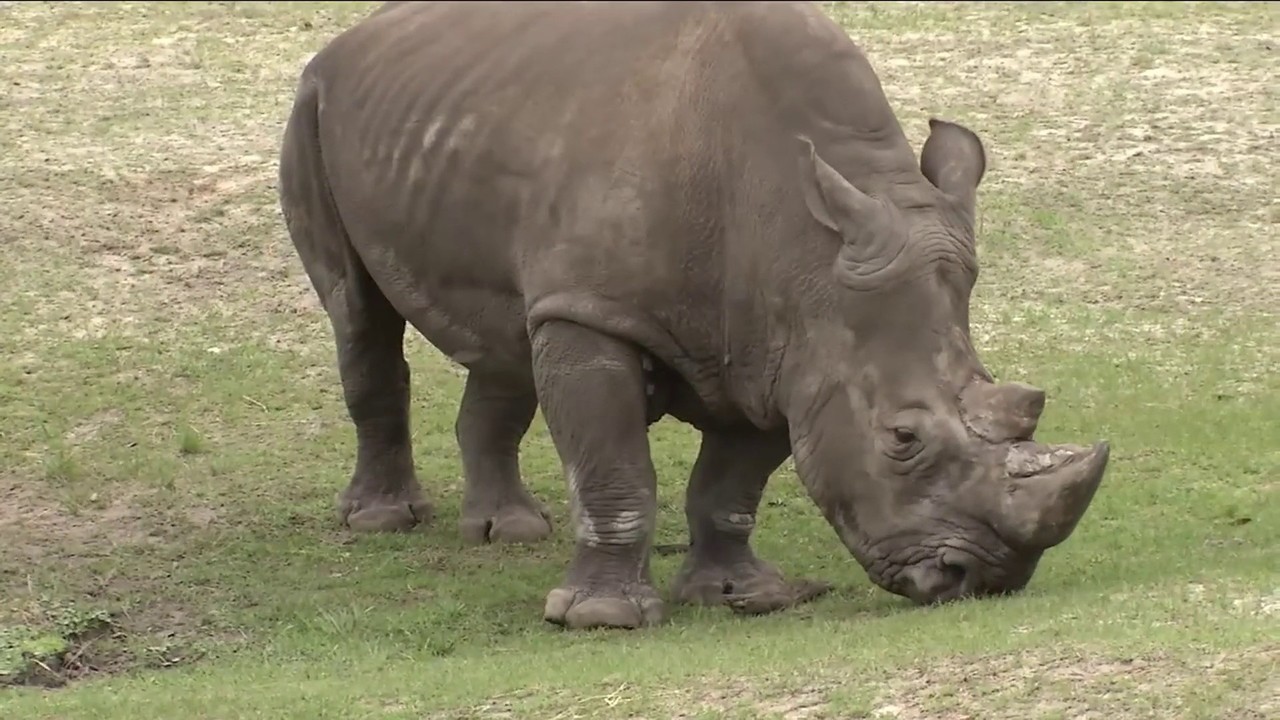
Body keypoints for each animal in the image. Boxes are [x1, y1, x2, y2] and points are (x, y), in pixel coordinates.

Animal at [277, 0, 1112, 630]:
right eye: (902, 439)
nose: (981, 578)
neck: (805, 248)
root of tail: (358, 35)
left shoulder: (779, 347)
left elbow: (730, 482)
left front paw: (745, 596)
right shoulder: (602, 312)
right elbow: (614, 466)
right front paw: (603, 619)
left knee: (510, 332)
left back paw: (509, 531)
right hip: (311, 107)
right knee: (359, 315)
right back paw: (382, 521)